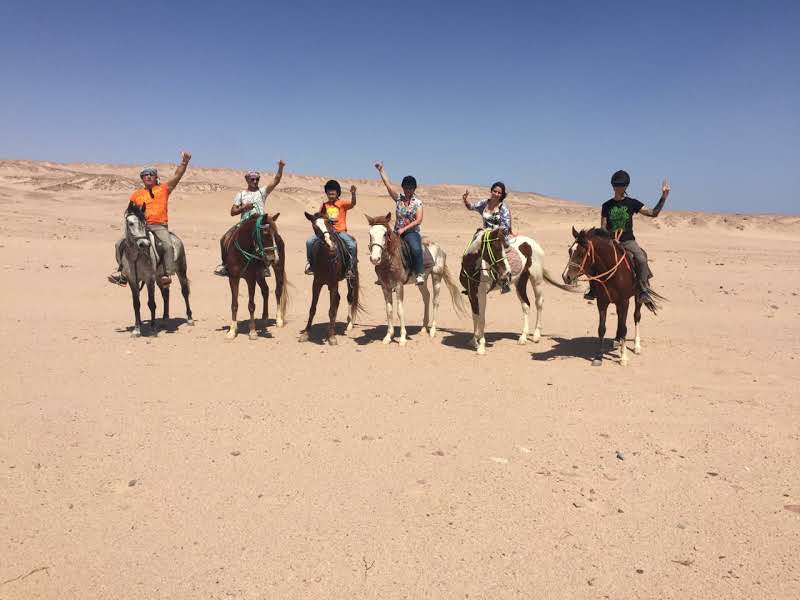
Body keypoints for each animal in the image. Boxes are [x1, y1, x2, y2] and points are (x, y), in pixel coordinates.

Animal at [119, 201, 192, 337]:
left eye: (145, 222)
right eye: (131, 223)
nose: (144, 244)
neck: (136, 256)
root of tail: (175, 238)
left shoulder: (150, 279)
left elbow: (151, 303)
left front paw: (153, 329)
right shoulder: (133, 280)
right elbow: (136, 304)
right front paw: (137, 329)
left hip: (181, 270)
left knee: (184, 292)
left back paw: (190, 318)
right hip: (160, 277)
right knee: (166, 294)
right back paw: (164, 319)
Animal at [221, 212, 289, 340]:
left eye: (274, 234)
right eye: (265, 233)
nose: (273, 258)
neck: (242, 252)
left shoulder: (250, 279)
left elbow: (251, 305)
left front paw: (252, 331)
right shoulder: (233, 278)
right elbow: (234, 304)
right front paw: (232, 331)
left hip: (278, 268)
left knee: (278, 290)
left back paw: (279, 320)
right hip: (260, 276)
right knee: (265, 290)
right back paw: (265, 317)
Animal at [299, 211, 363, 345]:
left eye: (329, 222)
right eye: (315, 227)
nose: (331, 245)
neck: (326, 258)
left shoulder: (333, 283)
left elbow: (332, 310)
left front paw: (332, 337)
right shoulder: (317, 283)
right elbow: (312, 308)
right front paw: (306, 333)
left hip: (351, 278)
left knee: (349, 298)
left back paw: (349, 324)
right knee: (338, 299)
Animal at [366, 213, 464, 345]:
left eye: (385, 234)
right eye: (370, 234)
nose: (375, 259)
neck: (390, 260)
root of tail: (439, 248)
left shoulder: (399, 285)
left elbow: (400, 310)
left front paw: (402, 338)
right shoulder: (385, 286)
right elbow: (389, 310)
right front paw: (388, 336)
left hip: (436, 276)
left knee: (435, 301)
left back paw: (432, 330)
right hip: (422, 281)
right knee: (426, 297)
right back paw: (423, 328)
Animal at [561, 227, 662, 366]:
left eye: (581, 253)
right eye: (570, 251)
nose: (566, 277)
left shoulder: (624, 301)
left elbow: (624, 327)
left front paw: (623, 357)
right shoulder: (602, 302)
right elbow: (601, 328)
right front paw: (598, 356)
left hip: (637, 297)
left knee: (636, 316)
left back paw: (636, 346)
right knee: (619, 317)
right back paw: (617, 339)